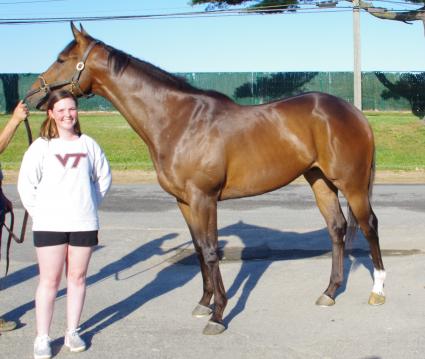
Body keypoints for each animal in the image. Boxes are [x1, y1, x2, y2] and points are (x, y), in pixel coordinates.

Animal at [25, 23, 384, 338]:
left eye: (62, 59)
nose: (31, 97)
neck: (178, 120)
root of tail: (353, 112)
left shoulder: (204, 198)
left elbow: (211, 251)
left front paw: (218, 315)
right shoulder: (184, 201)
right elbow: (198, 249)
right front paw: (204, 303)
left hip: (351, 185)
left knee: (369, 226)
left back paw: (378, 290)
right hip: (319, 180)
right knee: (336, 228)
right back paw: (330, 291)